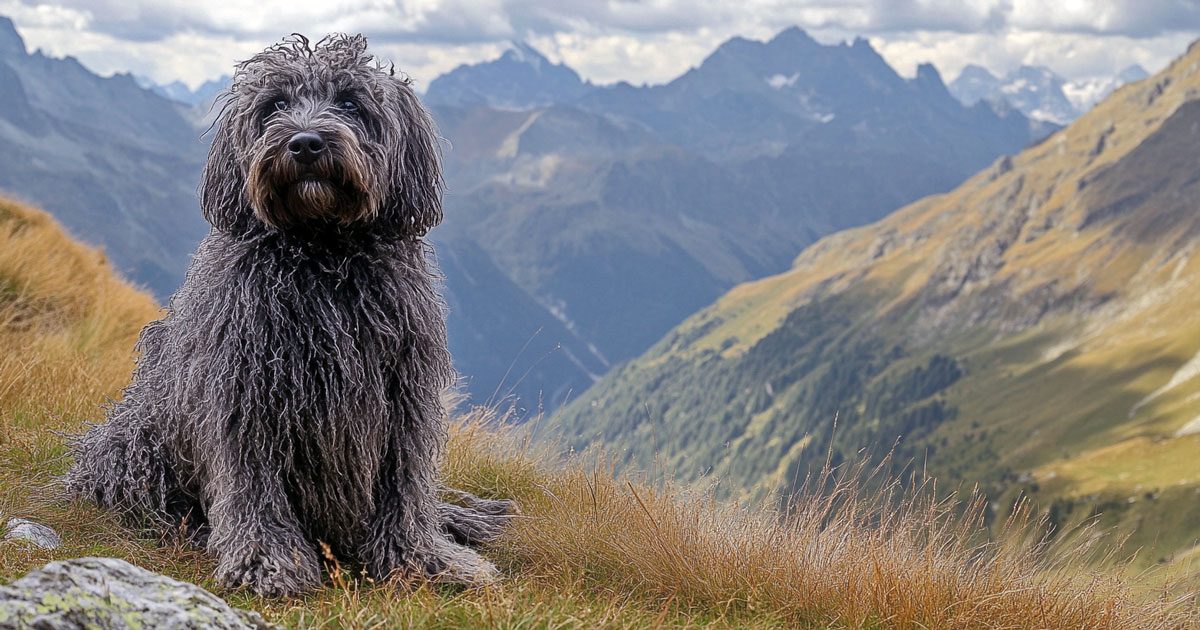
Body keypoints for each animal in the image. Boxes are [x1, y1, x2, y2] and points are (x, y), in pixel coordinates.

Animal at [65, 33, 513, 595]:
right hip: (138, 445)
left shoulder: (402, 399)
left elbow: (404, 488)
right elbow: (253, 489)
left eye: (350, 102)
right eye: (275, 106)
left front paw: (420, 559)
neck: (322, 253)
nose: (304, 144)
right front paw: (266, 562)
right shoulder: (245, 396)